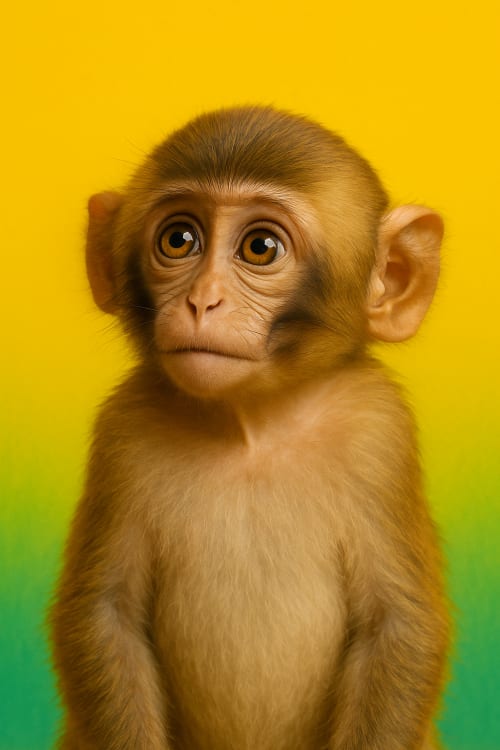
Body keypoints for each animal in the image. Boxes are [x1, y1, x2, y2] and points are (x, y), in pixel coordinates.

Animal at [50, 106, 450, 750]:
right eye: (178, 239)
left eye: (260, 247)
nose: (202, 301)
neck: (251, 429)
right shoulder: (123, 430)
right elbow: (106, 614)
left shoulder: (379, 430)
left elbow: (397, 625)